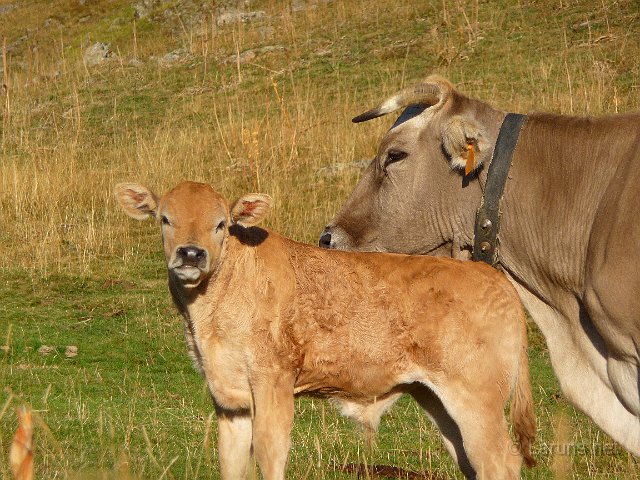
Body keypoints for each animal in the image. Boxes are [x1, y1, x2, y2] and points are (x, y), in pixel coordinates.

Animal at [114, 180, 536, 480]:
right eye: (165, 219)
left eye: (221, 224)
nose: (190, 254)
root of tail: (494, 279)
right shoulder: (228, 399)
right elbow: (232, 463)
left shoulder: (273, 382)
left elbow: (269, 454)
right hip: (438, 399)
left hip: (477, 399)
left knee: (500, 462)